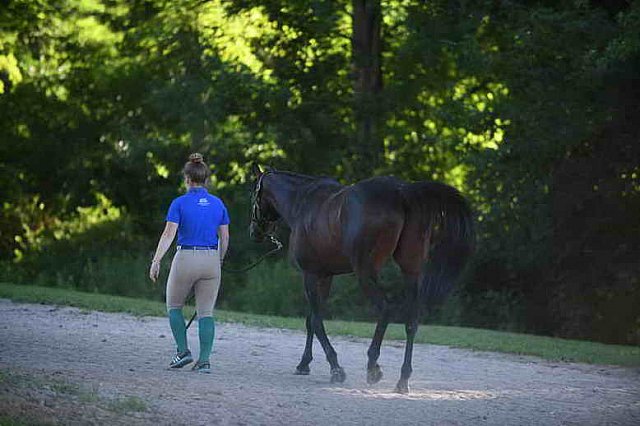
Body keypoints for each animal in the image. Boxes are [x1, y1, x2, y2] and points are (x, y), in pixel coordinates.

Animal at [250, 164, 476, 392]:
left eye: (254, 195)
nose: (255, 232)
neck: (302, 204)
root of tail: (402, 191)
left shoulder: (310, 276)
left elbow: (316, 321)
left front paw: (335, 369)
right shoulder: (325, 277)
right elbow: (311, 320)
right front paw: (304, 364)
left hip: (365, 273)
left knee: (385, 309)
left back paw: (373, 365)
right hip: (411, 272)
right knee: (412, 321)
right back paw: (403, 379)